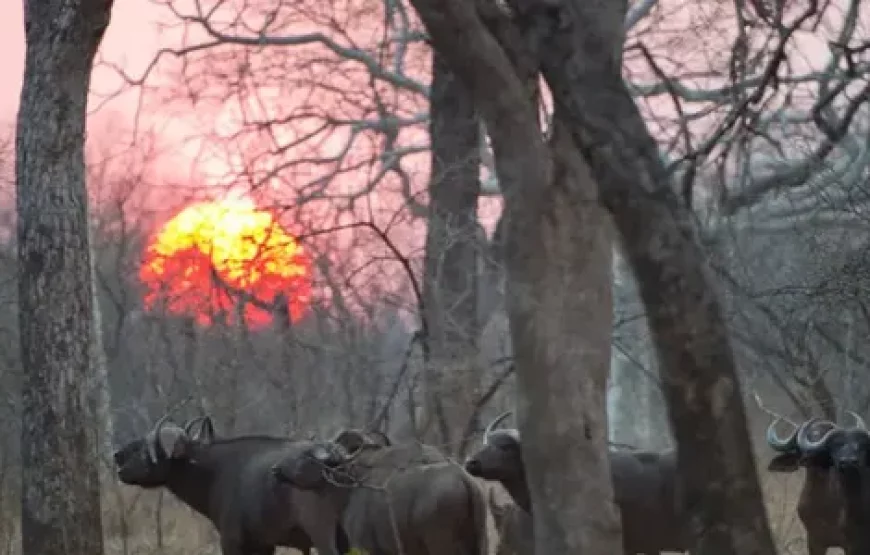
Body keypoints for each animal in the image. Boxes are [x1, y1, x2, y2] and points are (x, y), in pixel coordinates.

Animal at [272, 432, 490, 555]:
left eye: (307, 456)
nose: (275, 468)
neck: (354, 482)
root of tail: (464, 479)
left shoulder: (368, 548)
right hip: (479, 543)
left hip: (441, 544)